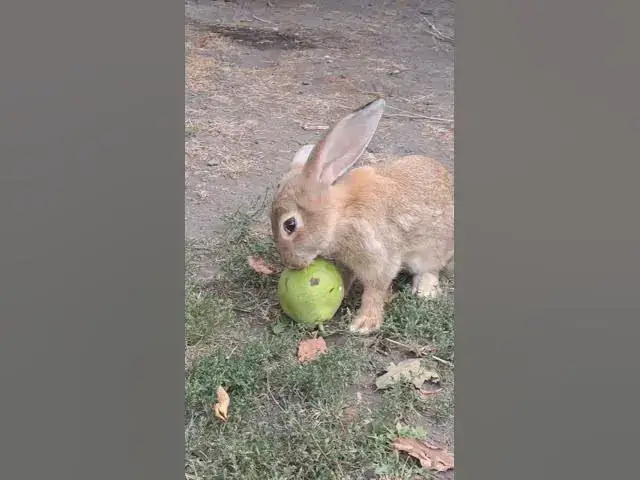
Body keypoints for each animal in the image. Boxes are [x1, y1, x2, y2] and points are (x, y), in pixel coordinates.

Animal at [270, 98, 453, 334]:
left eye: (290, 225)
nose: (291, 263)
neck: (340, 215)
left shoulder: (378, 258)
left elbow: (375, 290)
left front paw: (364, 323)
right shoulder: (347, 260)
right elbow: (346, 276)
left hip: (432, 250)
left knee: (432, 268)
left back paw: (425, 290)